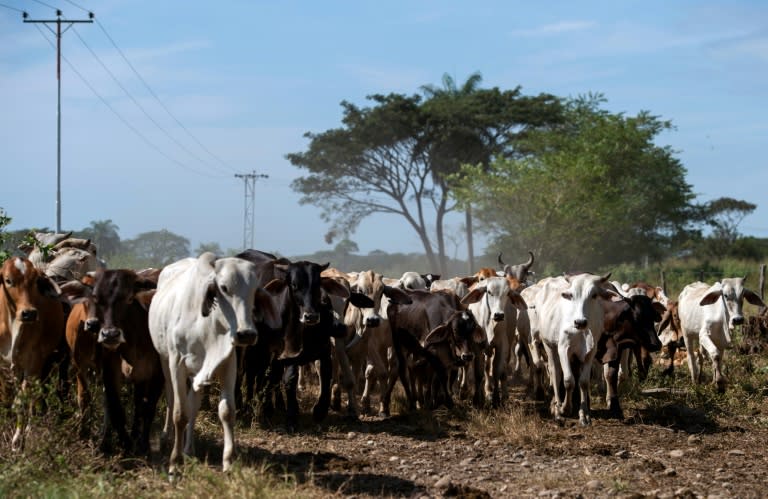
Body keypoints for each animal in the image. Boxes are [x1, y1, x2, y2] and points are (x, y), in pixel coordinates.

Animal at [0, 260, 66, 452]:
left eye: (35, 281)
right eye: (8, 280)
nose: (29, 313)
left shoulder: (33, 362)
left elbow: (21, 401)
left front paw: (17, 441)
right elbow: (6, 398)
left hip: (46, 365)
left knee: (36, 394)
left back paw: (31, 429)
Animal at [147, 252, 276, 474]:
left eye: (254, 290)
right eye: (223, 287)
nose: (246, 334)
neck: (208, 328)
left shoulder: (228, 364)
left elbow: (226, 411)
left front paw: (228, 461)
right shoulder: (177, 363)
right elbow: (180, 413)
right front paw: (174, 462)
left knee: (194, 404)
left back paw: (189, 449)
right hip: (165, 360)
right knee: (172, 399)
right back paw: (166, 439)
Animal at [536, 274, 616, 426]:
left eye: (594, 295)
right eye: (571, 295)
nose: (580, 322)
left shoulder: (590, 352)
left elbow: (583, 382)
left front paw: (584, 415)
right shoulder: (563, 349)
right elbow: (568, 381)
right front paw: (565, 408)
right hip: (549, 346)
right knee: (555, 374)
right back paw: (557, 410)